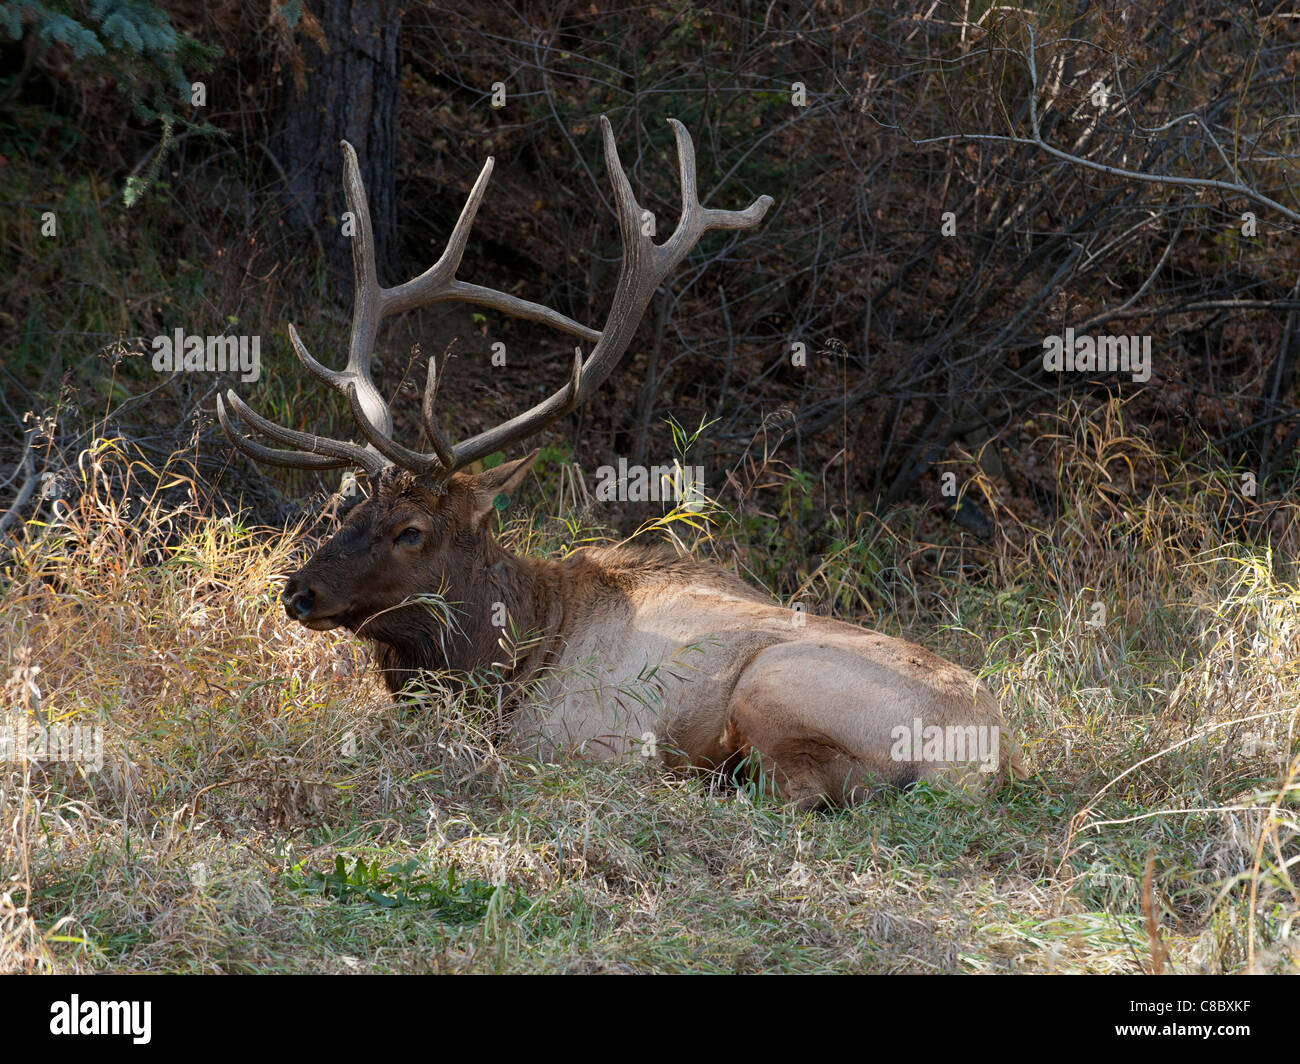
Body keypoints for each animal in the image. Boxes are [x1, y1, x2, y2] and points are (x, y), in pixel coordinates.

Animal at [218, 117, 1025, 808]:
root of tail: (989, 759)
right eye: (354, 507)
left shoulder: (571, 732)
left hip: (773, 684)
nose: (298, 593)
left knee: (795, 790)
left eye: (410, 531)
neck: (503, 662)